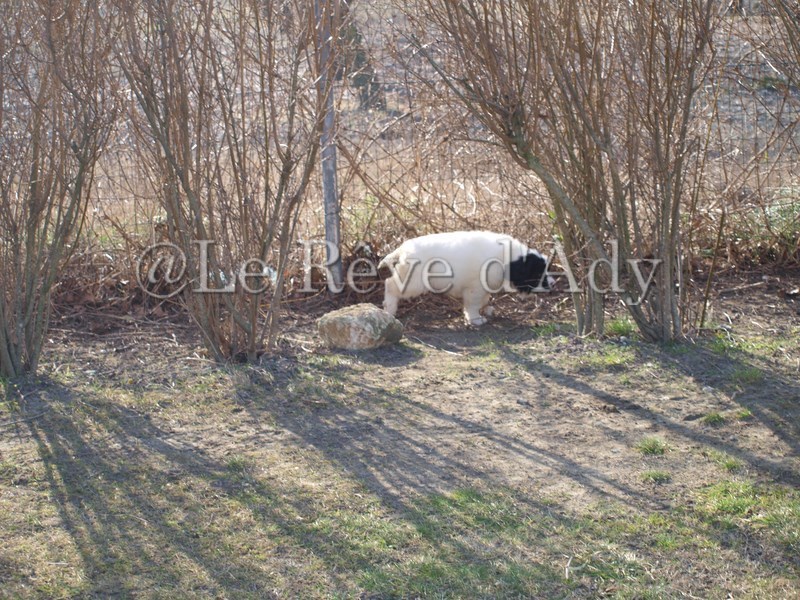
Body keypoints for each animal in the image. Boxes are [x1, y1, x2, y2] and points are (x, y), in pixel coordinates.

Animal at [378, 231, 553, 325]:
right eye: (538, 273)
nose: (553, 283)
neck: (505, 258)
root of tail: (404, 248)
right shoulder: (474, 288)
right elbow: (473, 305)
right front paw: (475, 319)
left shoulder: (483, 287)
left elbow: (484, 299)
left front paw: (486, 309)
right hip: (413, 281)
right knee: (390, 285)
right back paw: (390, 308)